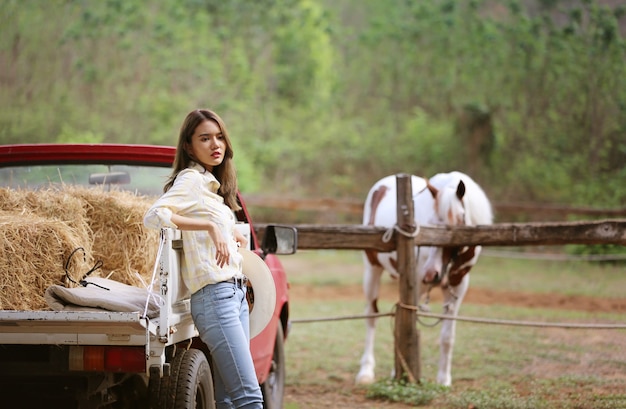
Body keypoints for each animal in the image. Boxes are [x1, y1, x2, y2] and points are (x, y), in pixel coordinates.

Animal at [354, 171, 490, 386]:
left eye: (456, 224)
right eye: (431, 223)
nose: (431, 273)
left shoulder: (459, 284)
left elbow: (447, 336)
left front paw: (444, 379)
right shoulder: (416, 282)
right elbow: (408, 328)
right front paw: (401, 373)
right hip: (372, 269)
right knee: (371, 316)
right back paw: (366, 371)